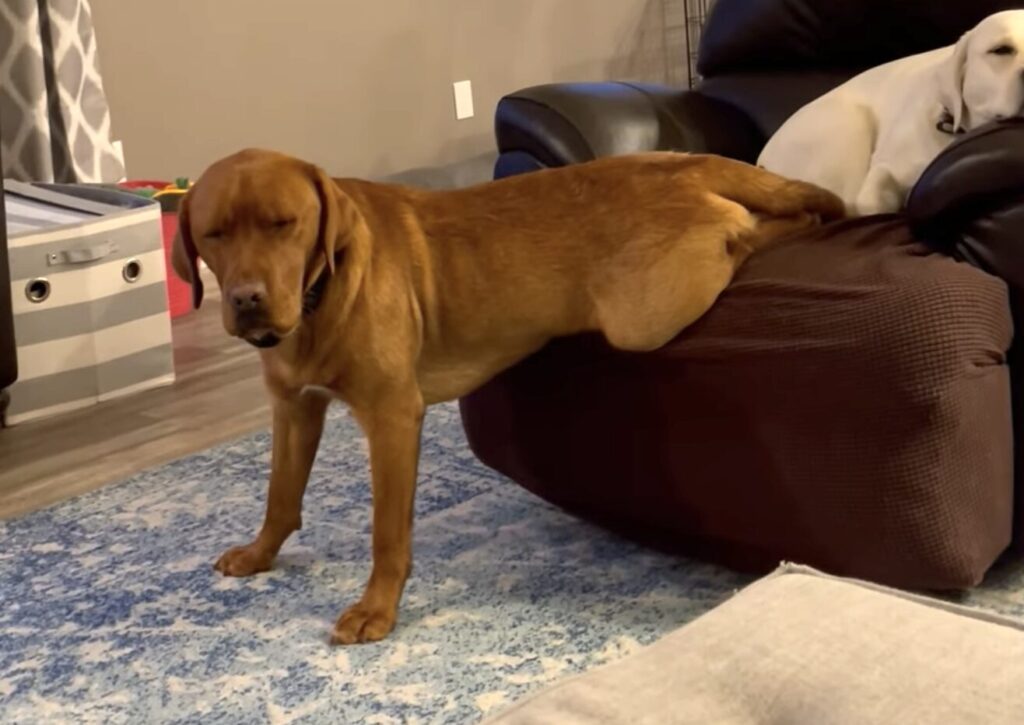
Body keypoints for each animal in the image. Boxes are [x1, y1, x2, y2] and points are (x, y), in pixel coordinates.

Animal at [172, 148, 844, 644]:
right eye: (214, 234)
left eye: (283, 224)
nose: (248, 299)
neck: (316, 299)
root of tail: (687, 164)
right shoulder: (293, 409)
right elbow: (280, 495)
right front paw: (260, 554)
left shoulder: (391, 415)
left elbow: (387, 531)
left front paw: (377, 609)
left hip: (649, 312)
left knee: (763, 230)